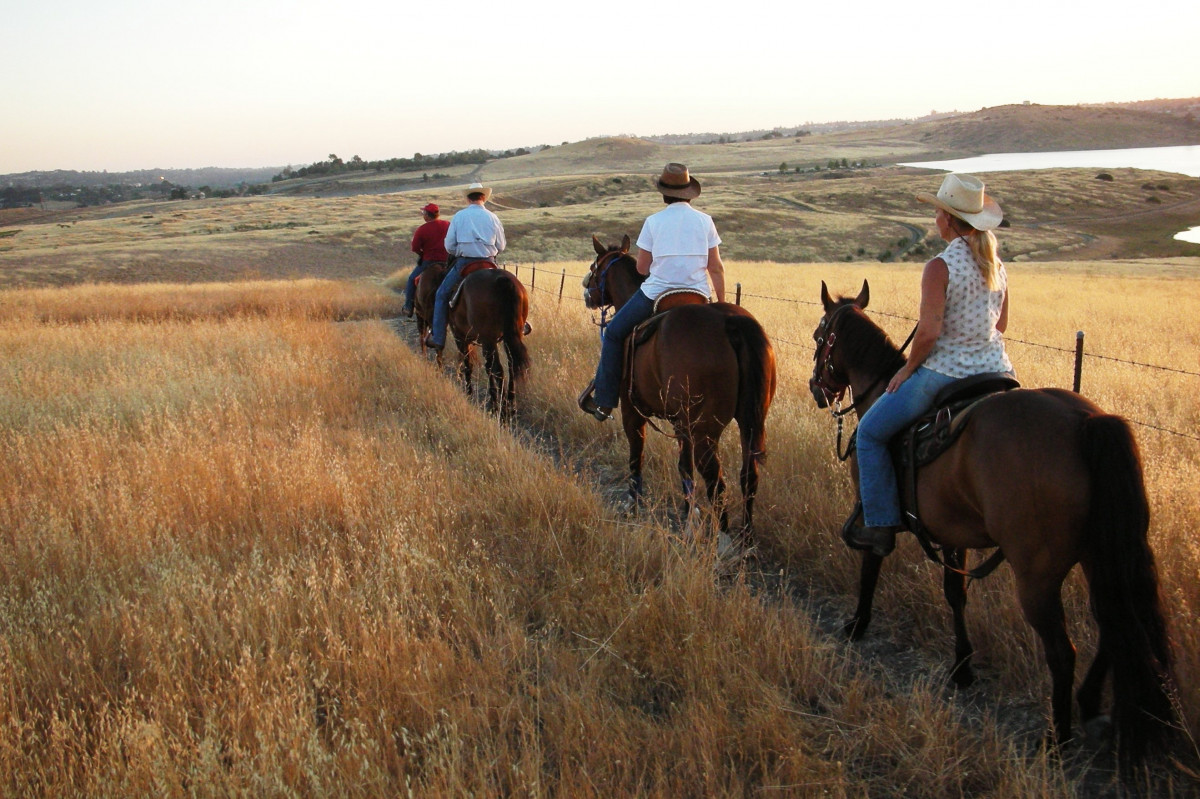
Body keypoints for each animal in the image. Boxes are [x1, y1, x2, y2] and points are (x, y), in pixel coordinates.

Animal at [583, 233, 777, 537]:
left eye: (595, 266)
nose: (586, 292)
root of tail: (732, 323)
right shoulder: (681, 422)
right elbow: (684, 467)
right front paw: (688, 514)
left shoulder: (631, 410)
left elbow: (636, 454)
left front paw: (634, 502)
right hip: (750, 422)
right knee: (749, 475)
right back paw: (745, 536)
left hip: (706, 429)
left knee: (715, 479)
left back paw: (723, 538)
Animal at [811, 279, 1176, 767]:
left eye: (819, 336)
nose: (815, 387)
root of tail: (1087, 422)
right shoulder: (952, 533)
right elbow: (956, 594)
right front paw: (962, 666)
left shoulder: (872, 505)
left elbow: (872, 563)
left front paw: (857, 624)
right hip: (1099, 557)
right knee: (1110, 626)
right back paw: (1088, 706)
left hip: (1037, 576)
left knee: (1063, 651)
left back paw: (1056, 739)